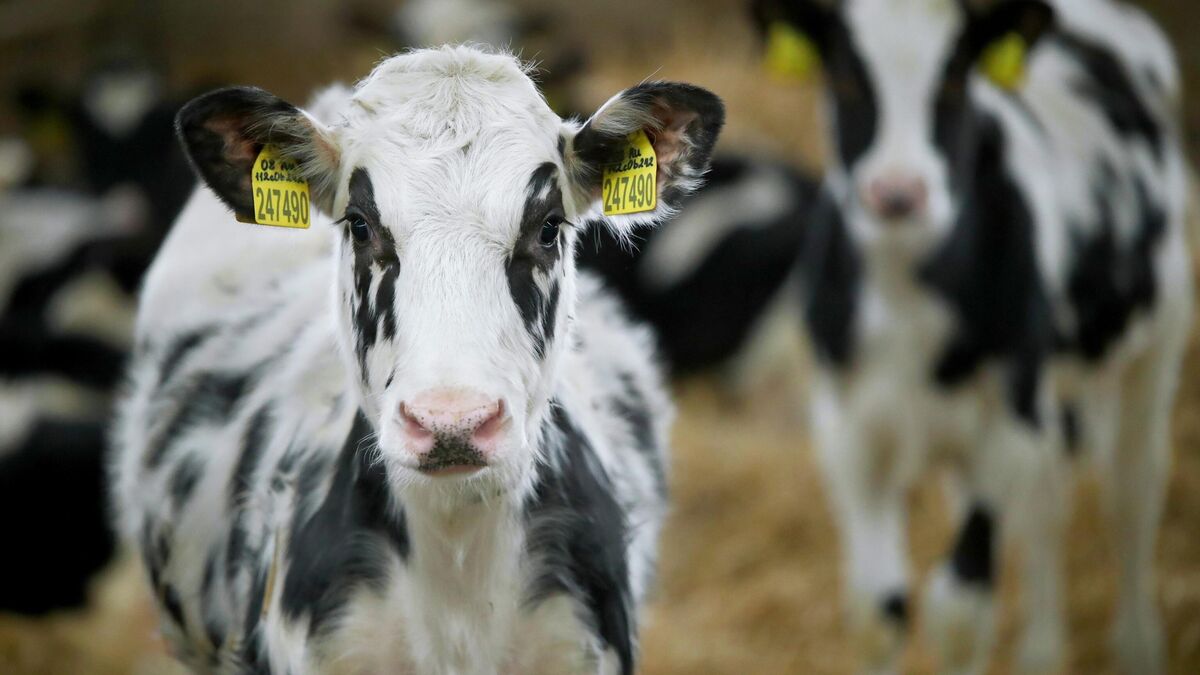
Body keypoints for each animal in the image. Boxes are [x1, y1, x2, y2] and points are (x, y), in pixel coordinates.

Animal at [754, 0, 1192, 672]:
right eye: (846, 78)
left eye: (957, 79)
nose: (898, 194)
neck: (906, 295)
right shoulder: (849, 430)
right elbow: (876, 614)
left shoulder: (1006, 426)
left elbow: (961, 612)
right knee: (1046, 503)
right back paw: (1042, 653)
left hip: (1155, 338)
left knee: (1132, 488)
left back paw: (1138, 647)